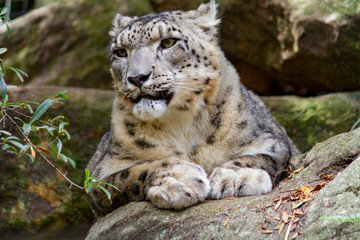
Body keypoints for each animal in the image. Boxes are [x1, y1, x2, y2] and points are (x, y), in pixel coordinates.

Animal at [86, 0, 298, 218]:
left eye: (168, 42)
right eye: (120, 52)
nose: (137, 77)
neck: (180, 123)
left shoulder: (275, 141)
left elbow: (262, 157)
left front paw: (235, 176)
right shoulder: (99, 173)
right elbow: (131, 173)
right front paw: (178, 180)